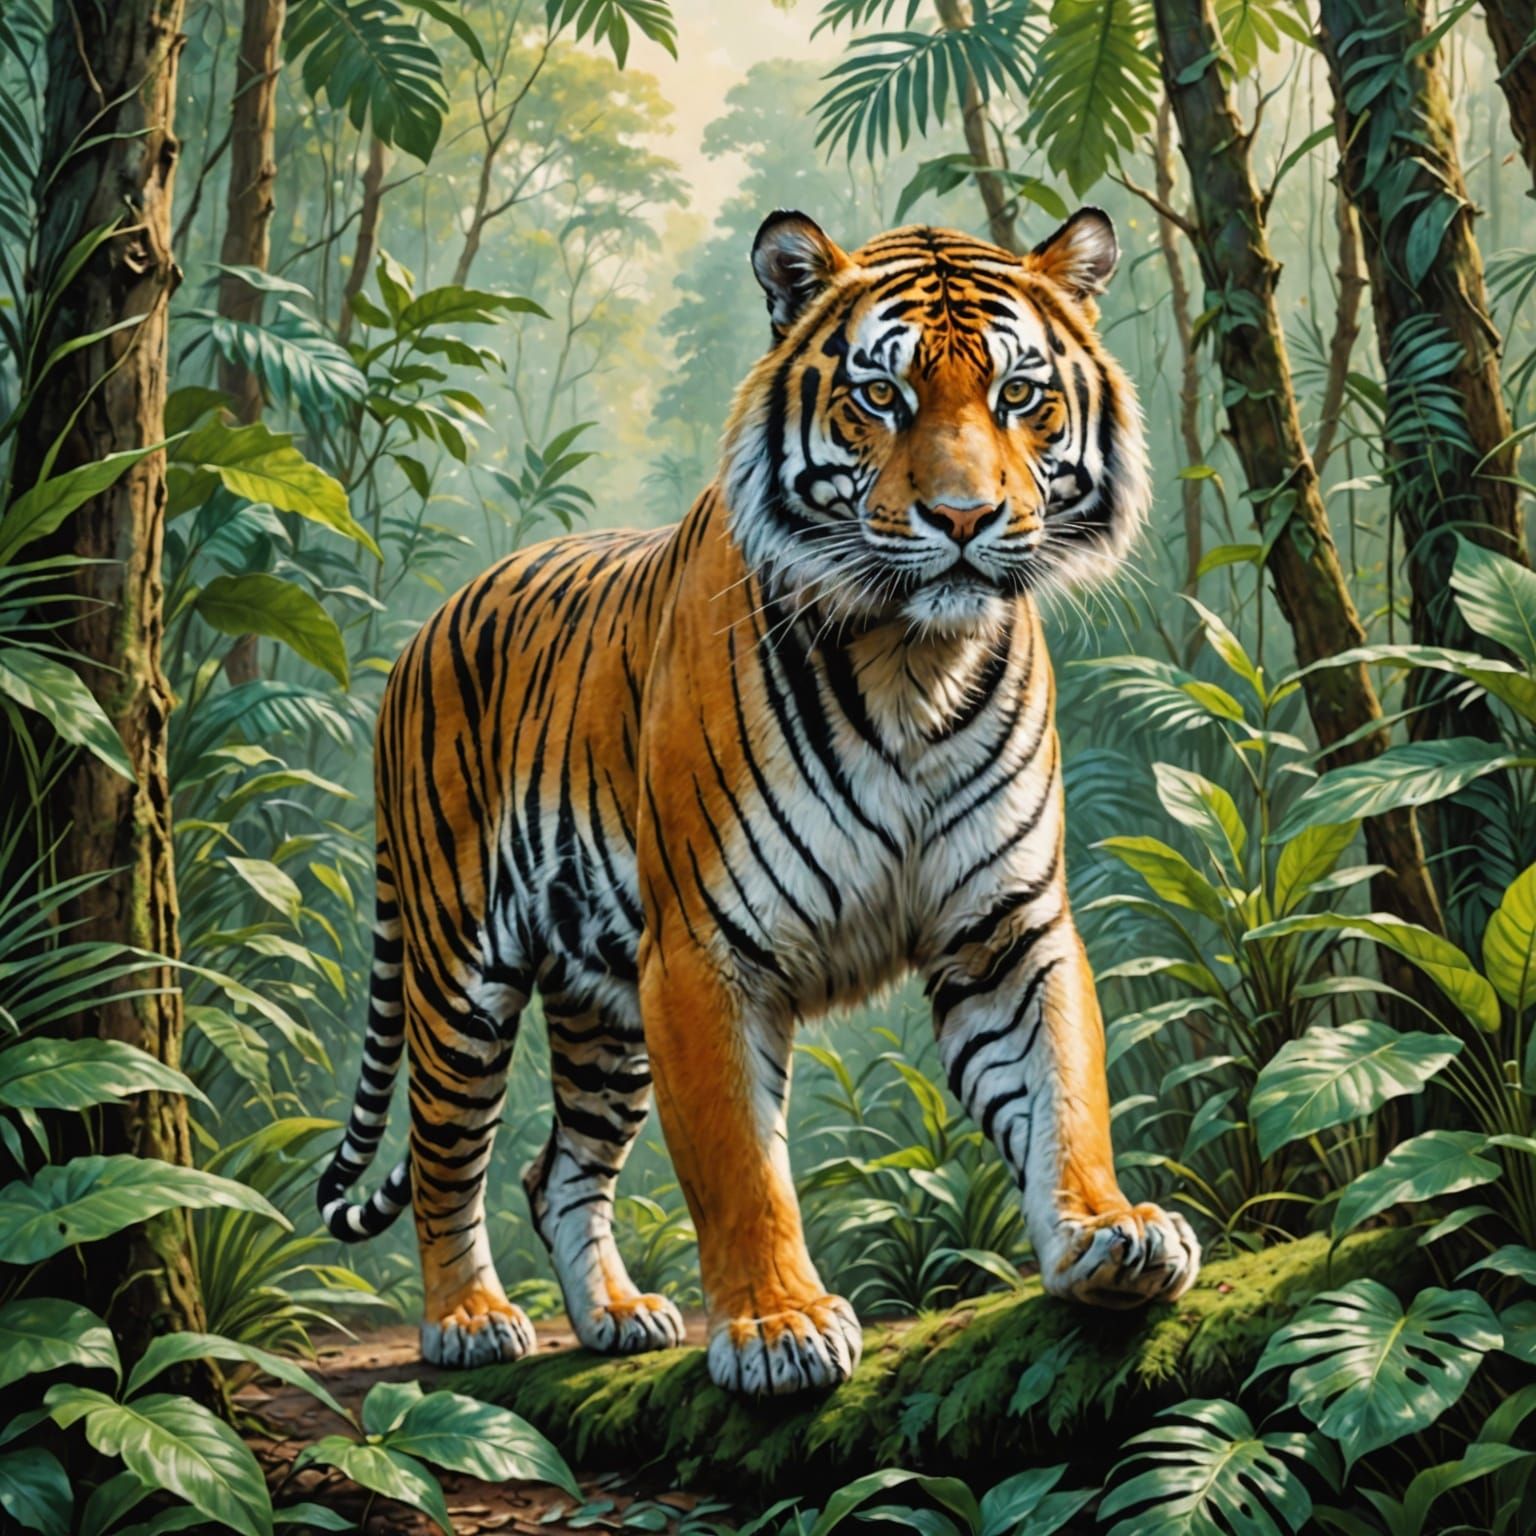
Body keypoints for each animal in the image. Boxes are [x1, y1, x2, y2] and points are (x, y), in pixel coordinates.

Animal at [316, 207, 1201, 1399]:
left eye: (1021, 394)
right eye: (882, 395)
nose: (964, 517)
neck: (913, 661)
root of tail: (423, 631)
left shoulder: (1005, 926)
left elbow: (1063, 1088)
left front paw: (1108, 1235)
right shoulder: (704, 950)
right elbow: (741, 1164)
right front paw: (779, 1327)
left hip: (602, 1007)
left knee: (561, 1168)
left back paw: (617, 1317)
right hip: (462, 971)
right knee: (446, 1151)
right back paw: (469, 1319)